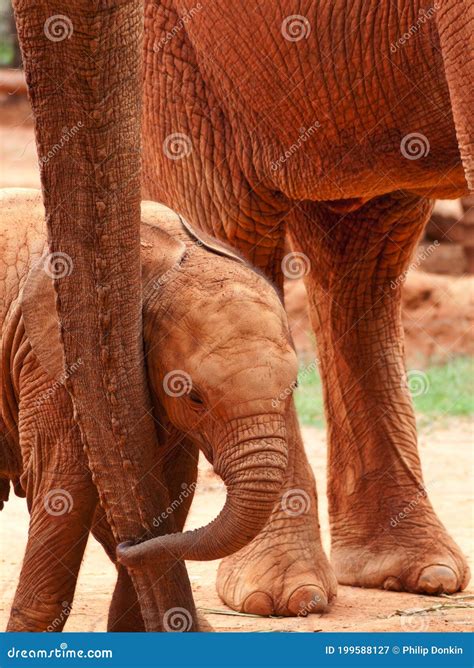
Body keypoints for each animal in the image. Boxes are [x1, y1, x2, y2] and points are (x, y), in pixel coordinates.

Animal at [0, 188, 296, 632]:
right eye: (194, 397)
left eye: (293, 387)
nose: (129, 545)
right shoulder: (52, 362)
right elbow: (63, 488)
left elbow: (172, 487)